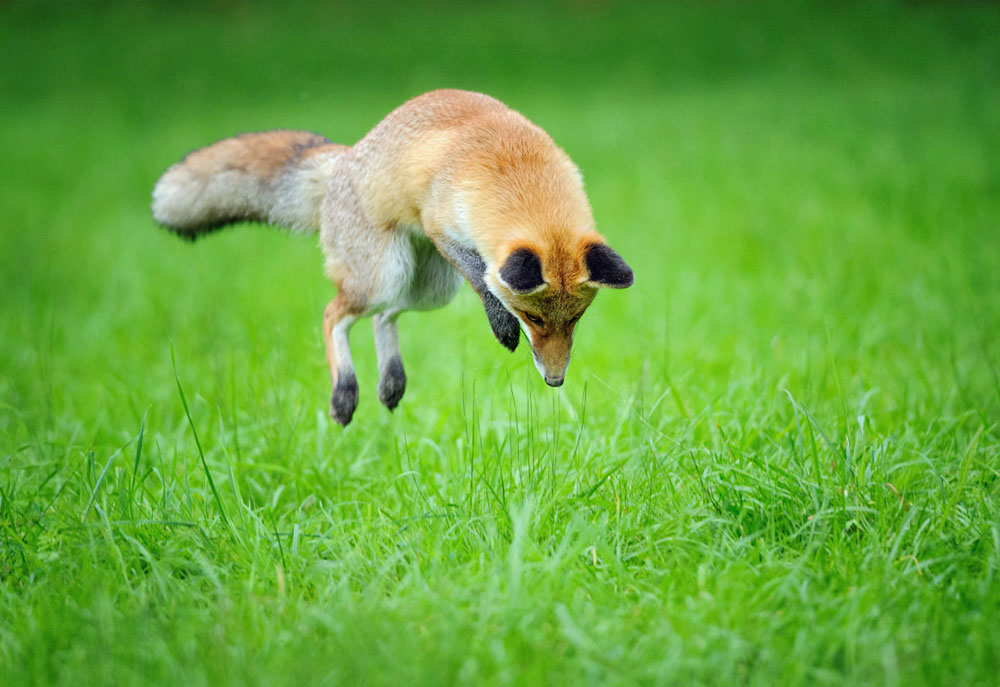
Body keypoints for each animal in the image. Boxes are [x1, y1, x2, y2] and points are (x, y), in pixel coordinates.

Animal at [151, 90, 628, 424]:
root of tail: (345, 157)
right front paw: (500, 325)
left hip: (428, 288)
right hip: (383, 274)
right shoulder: (440, 225)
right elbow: (482, 277)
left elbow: (484, 279)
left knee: (384, 316)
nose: (555, 380)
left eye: (575, 319)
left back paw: (391, 382)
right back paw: (345, 393)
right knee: (334, 314)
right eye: (532, 318)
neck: (518, 172)